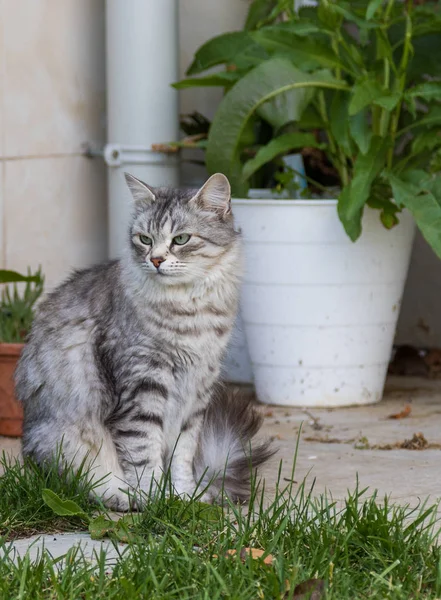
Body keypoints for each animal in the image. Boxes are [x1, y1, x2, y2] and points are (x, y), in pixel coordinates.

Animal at [14, 171, 272, 508]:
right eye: (145, 239)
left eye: (181, 239)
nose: (157, 260)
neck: (190, 311)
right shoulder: (142, 388)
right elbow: (143, 455)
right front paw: (156, 503)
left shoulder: (196, 393)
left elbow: (182, 456)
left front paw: (184, 498)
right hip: (64, 443)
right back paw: (122, 498)